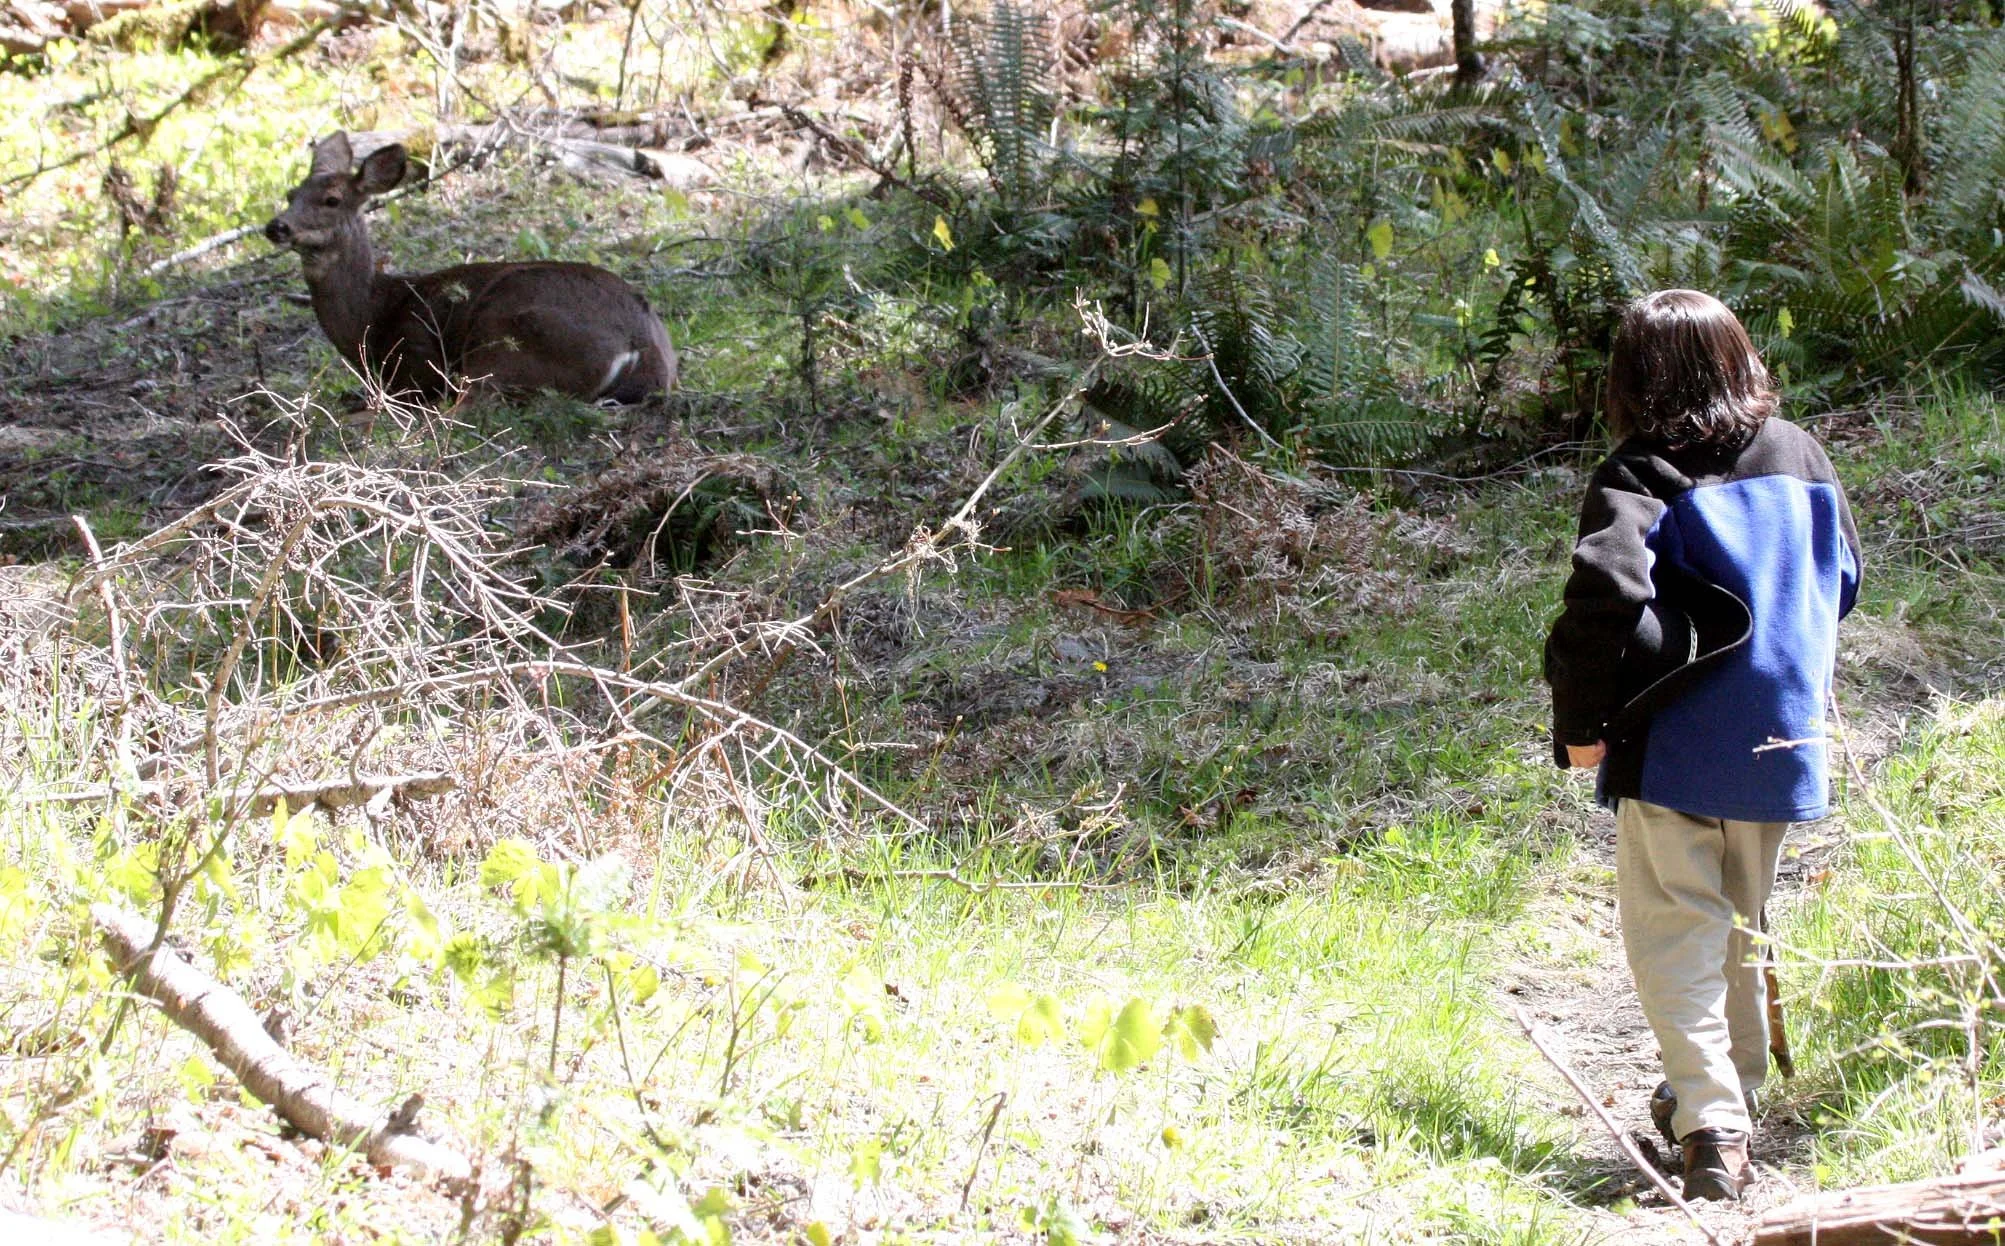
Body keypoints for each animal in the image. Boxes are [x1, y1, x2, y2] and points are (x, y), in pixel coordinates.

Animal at [264, 132, 678, 404]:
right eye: (290, 194)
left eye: (332, 200)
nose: (276, 227)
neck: (373, 317)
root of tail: (642, 348)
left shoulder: (415, 362)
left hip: (506, 341)